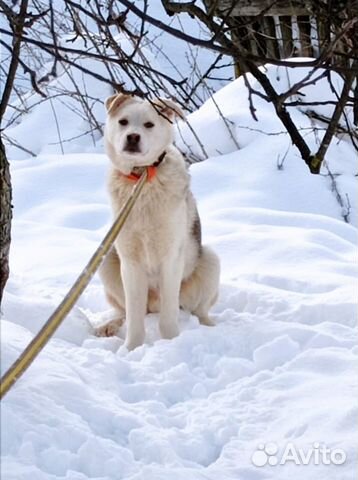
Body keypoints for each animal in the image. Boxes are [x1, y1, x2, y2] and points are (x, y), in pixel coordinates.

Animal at [97, 94, 221, 348]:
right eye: (123, 122)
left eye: (149, 125)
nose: (132, 137)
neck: (142, 177)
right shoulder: (130, 262)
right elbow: (134, 317)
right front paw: (131, 349)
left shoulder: (171, 257)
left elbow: (168, 316)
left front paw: (172, 342)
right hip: (107, 260)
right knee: (128, 312)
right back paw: (109, 326)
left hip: (210, 260)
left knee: (198, 311)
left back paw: (209, 327)